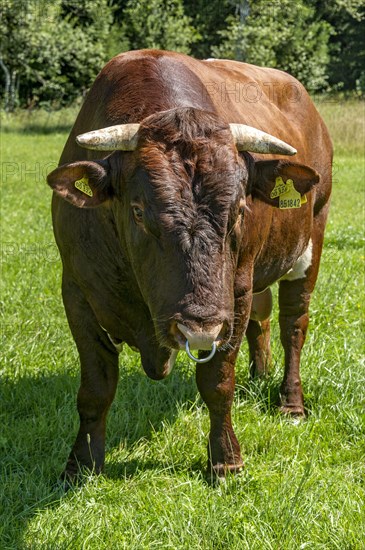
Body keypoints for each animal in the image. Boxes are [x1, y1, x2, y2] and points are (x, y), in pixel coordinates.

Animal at [47, 49, 332, 480]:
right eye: (138, 211)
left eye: (240, 209)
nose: (198, 326)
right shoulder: (77, 290)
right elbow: (95, 387)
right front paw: (81, 464)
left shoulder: (233, 297)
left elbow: (217, 381)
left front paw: (225, 460)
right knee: (263, 319)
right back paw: (259, 374)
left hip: (311, 237)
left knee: (293, 325)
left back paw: (291, 402)